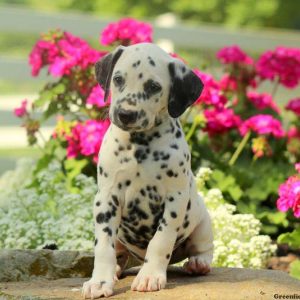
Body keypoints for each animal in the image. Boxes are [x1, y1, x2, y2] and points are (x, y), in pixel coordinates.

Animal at [82, 42, 213, 298]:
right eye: (118, 79)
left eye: (154, 87)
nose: (125, 114)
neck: (140, 145)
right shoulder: (106, 198)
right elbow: (103, 246)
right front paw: (99, 281)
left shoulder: (175, 199)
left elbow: (161, 241)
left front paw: (150, 275)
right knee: (119, 255)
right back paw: (115, 270)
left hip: (203, 222)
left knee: (204, 247)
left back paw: (198, 263)